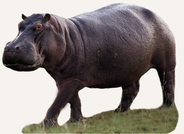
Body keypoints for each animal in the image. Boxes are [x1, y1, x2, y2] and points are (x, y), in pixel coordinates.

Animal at [2, 2, 175, 127]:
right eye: (18, 25)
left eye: (38, 27)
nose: (10, 47)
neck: (65, 34)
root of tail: (157, 14)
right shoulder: (64, 78)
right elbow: (73, 101)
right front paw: (75, 122)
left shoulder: (74, 79)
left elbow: (59, 101)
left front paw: (44, 126)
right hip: (130, 67)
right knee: (131, 89)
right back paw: (117, 113)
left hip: (166, 63)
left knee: (167, 83)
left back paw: (166, 108)